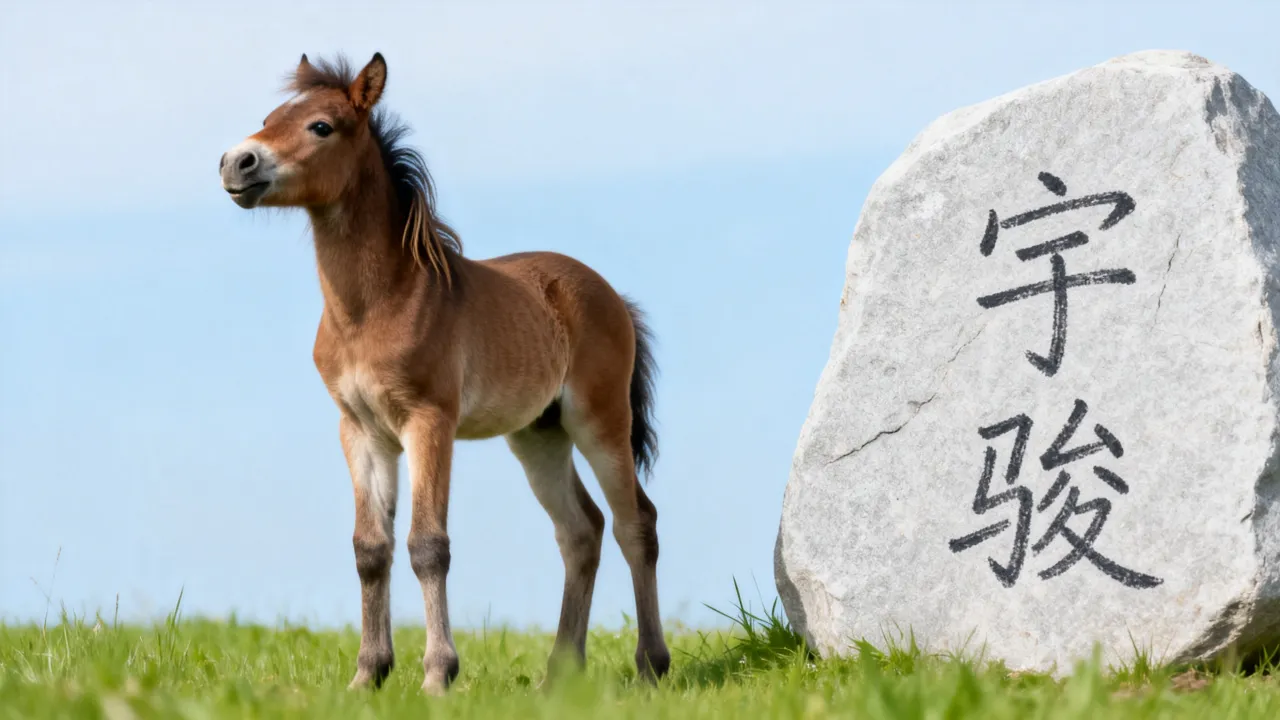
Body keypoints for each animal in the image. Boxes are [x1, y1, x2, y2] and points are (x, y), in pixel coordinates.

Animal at [217, 52, 670, 694]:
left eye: (321, 126)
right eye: (268, 118)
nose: (237, 162)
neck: (376, 305)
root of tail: (613, 296)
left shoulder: (429, 421)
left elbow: (428, 544)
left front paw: (437, 675)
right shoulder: (360, 431)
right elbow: (370, 548)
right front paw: (368, 674)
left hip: (600, 421)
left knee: (636, 523)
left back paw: (651, 665)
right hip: (538, 434)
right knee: (581, 530)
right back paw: (559, 673)